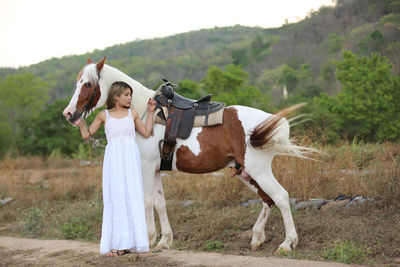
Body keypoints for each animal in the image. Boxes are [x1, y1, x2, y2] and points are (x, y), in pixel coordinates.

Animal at [62, 57, 314, 254]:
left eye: (87, 84)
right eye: (77, 83)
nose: (69, 114)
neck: (144, 113)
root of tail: (269, 121)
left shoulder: (146, 167)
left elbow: (147, 201)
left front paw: (149, 239)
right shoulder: (156, 170)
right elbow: (160, 202)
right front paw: (164, 241)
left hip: (258, 170)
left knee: (280, 197)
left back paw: (287, 243)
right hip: (244, 172)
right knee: (267, 199)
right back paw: (257, 237)